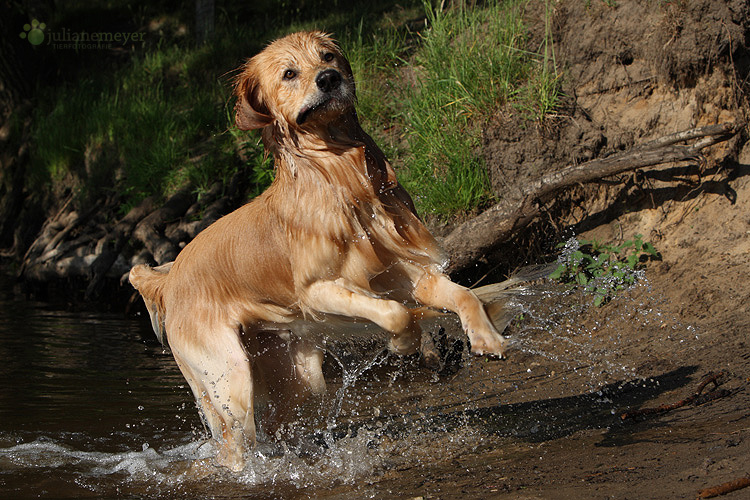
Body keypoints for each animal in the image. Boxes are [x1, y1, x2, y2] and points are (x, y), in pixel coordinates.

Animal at [132, 32, 512, 472]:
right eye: (289, 73)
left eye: (328, 56)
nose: (329, 79)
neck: (341, 175)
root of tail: (170, 278)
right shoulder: (317, 292)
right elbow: (394, 313)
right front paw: (403, 343)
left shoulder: (411, 274)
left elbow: (462, 294)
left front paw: (486, 337)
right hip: (229, 378)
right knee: (233, 443)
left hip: (290, 375)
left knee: (277, 423)